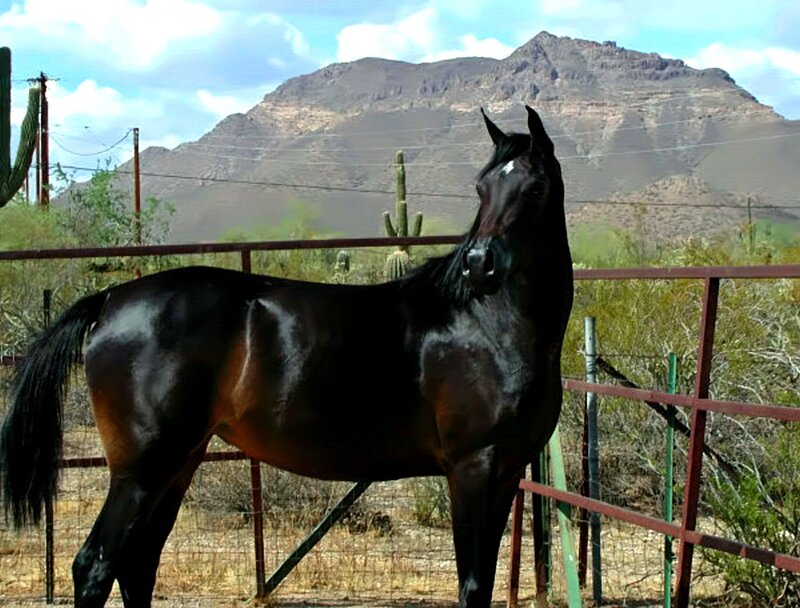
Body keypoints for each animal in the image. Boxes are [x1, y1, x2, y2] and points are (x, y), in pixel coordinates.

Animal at [0, 105, 573, 607]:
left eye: (534, 187)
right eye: (482, 187)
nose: (479, 263)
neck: (485, 322)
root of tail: (110, 300)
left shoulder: (504, 474)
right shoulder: (472, 467)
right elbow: (472, 587)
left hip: (177, 463)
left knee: (138, 565)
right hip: (141, 469)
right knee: (96, 564)